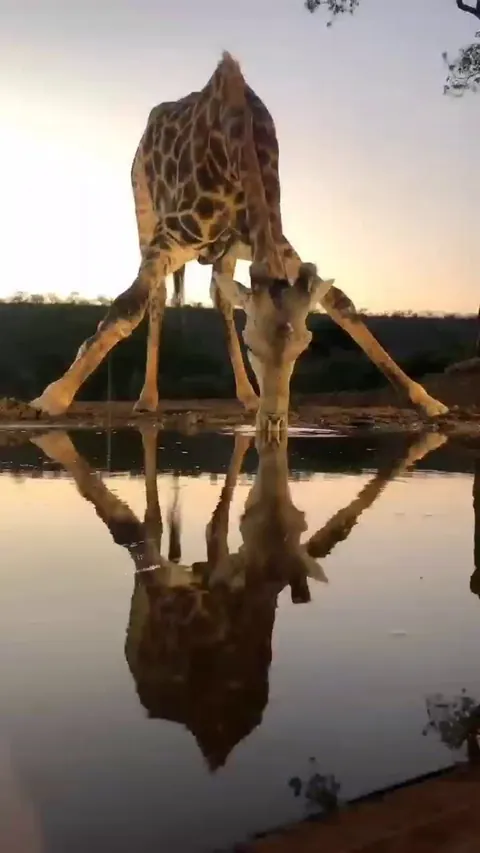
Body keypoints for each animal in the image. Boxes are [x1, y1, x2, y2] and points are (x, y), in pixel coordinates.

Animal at [28, 51, 448, 433]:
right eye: (252, 345)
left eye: (305, 344)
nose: (275, 420)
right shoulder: (172, 236)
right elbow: (128, 306)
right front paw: (53, 397)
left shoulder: (272, 243)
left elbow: (341, 304)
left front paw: (425, 399)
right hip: (144, 212)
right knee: (158, 298)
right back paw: (147, 399)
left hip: (222, 254)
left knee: (221, 298)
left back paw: (246, 397)